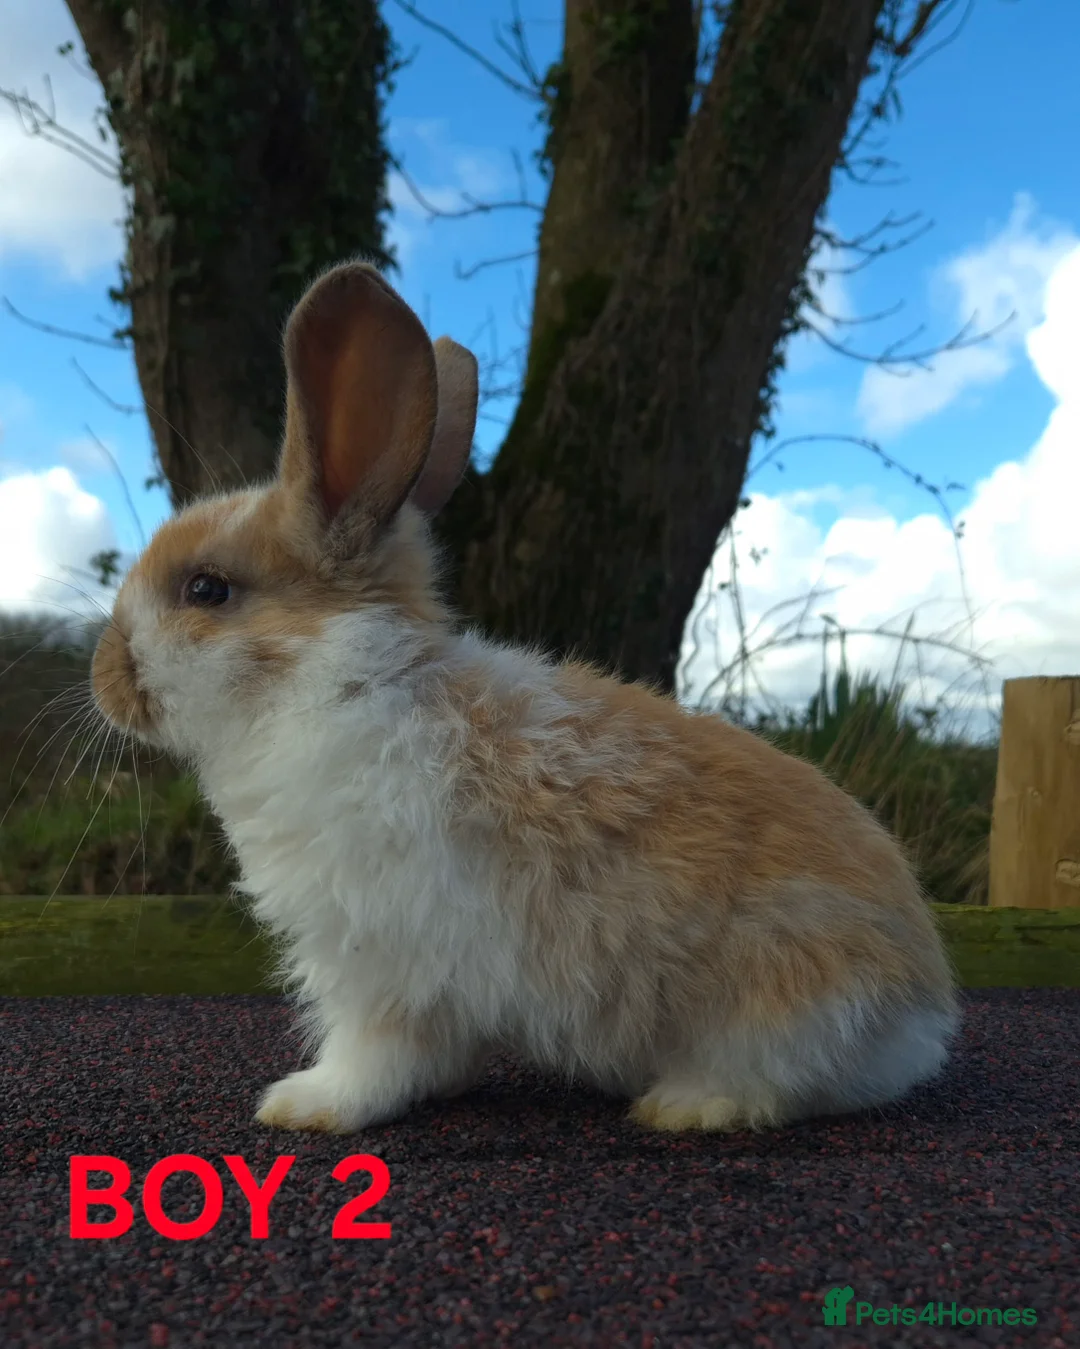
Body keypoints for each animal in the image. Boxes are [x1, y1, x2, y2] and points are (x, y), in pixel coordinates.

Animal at [91, 260, 959, 1136]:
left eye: (207, 589)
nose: (104, 677)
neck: (340, 677)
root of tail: (920, 1012)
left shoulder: (380, 962)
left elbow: (372, 1054)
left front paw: (306, 1104)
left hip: (775, 995)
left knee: (775, 1079)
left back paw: (681, 1103)